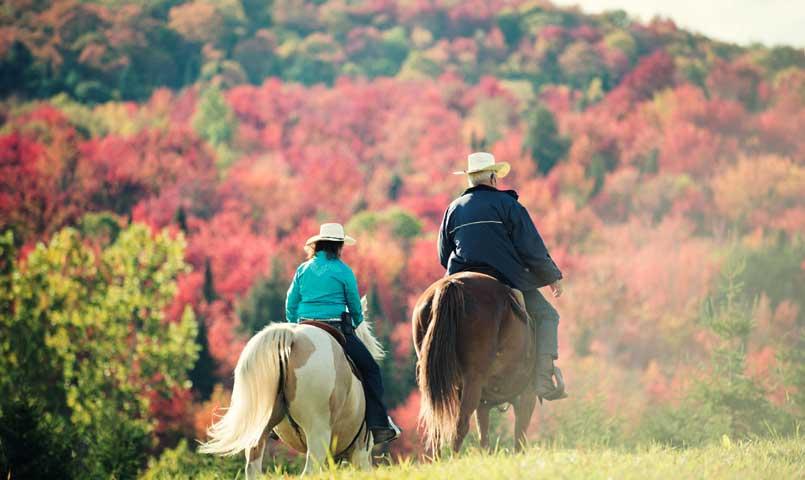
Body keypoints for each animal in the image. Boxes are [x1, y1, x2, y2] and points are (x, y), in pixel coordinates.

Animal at [197, 300, 380, 476]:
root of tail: (294, 337)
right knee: (309, 471)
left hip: (260, 431)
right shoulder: (361, 453)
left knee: (253, 467)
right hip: (318, 432)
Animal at [412, 272, 536, 452]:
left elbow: (484, 436)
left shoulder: (484, 403)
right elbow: (519, 435)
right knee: (460, 425)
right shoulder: (527, 395)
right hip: (473, 381)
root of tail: (452, 284)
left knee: (436, 428)